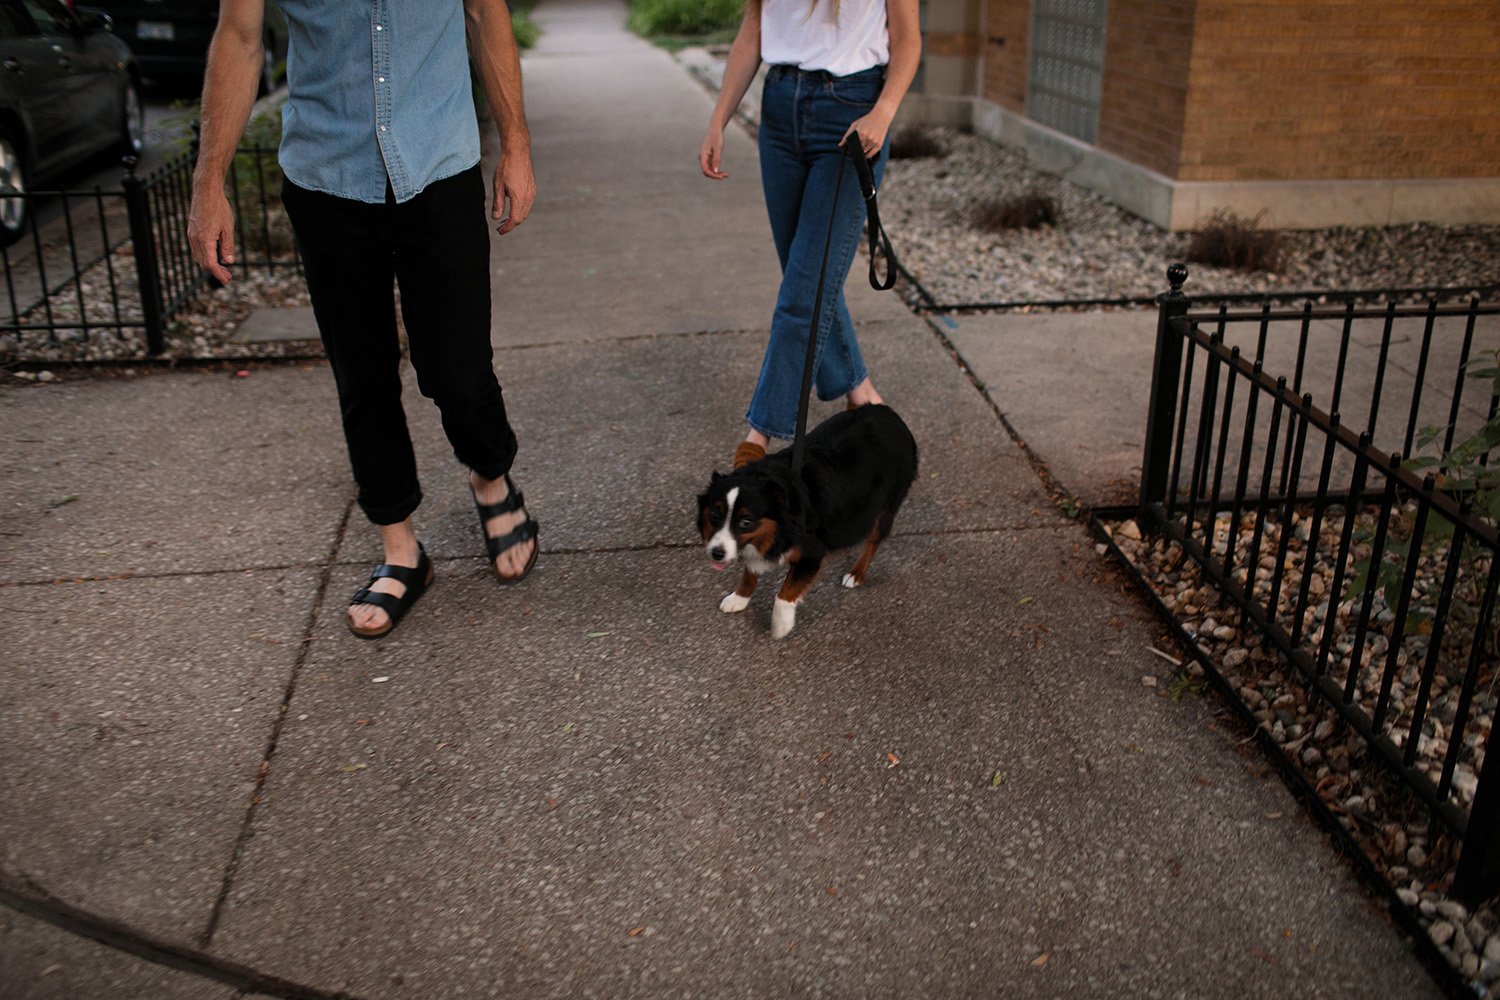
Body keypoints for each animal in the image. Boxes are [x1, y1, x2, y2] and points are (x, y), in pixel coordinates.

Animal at [696, 401, 918, 638]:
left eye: (746, 522)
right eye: (715, 515)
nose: (716, 554)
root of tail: (887, 411)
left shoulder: (812, 554)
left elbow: (784, 595)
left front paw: (781, 626)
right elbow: (750, 571)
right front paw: (739, 598)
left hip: (886, 506)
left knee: (873, 541)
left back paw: (856, 573)